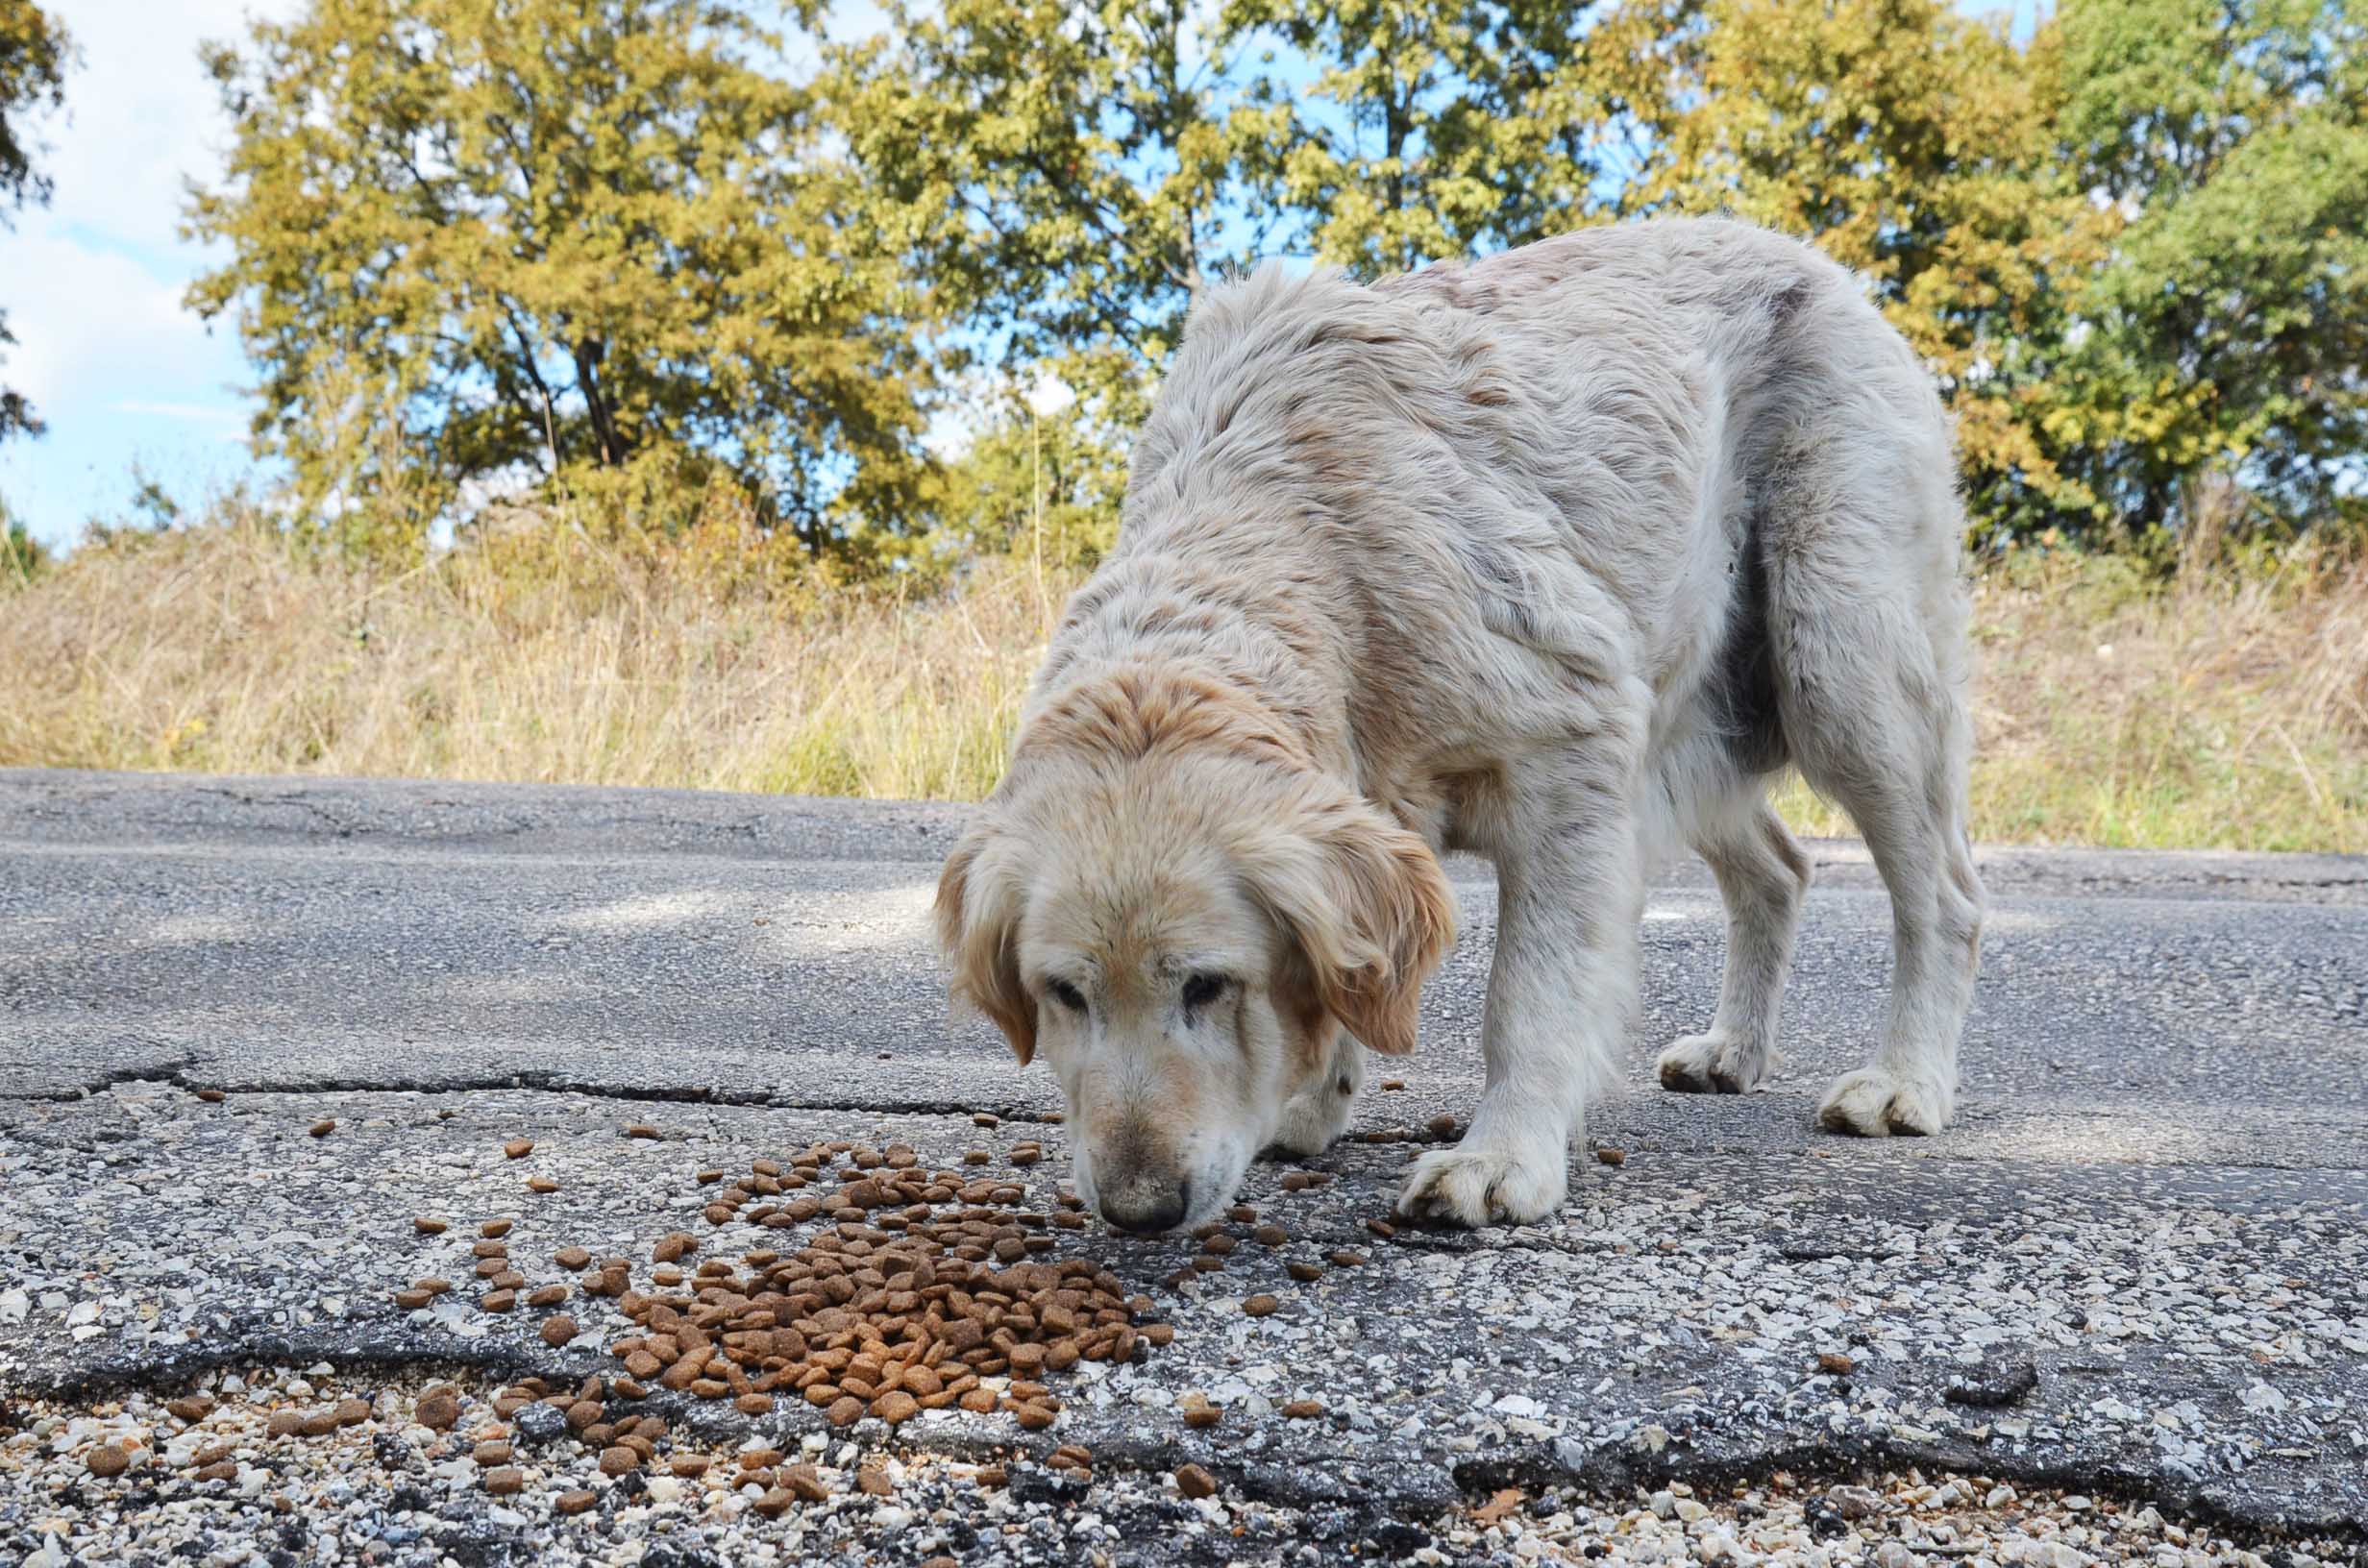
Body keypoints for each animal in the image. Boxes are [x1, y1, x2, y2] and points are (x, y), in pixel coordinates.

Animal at [932, 217, 1988, 1240]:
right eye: (1063, 995)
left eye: (1207, 986)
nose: (1137, 1212)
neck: (1308, 540)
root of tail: (1817, 262)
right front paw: (1314, 1102)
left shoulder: (1574, 750)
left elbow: (1526, 998)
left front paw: (1502, 1160)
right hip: (1695, 724)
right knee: (1780, 868)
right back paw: (1735, 1049)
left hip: (1839, 668)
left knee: (1944, 899)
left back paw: (1905, 1082)